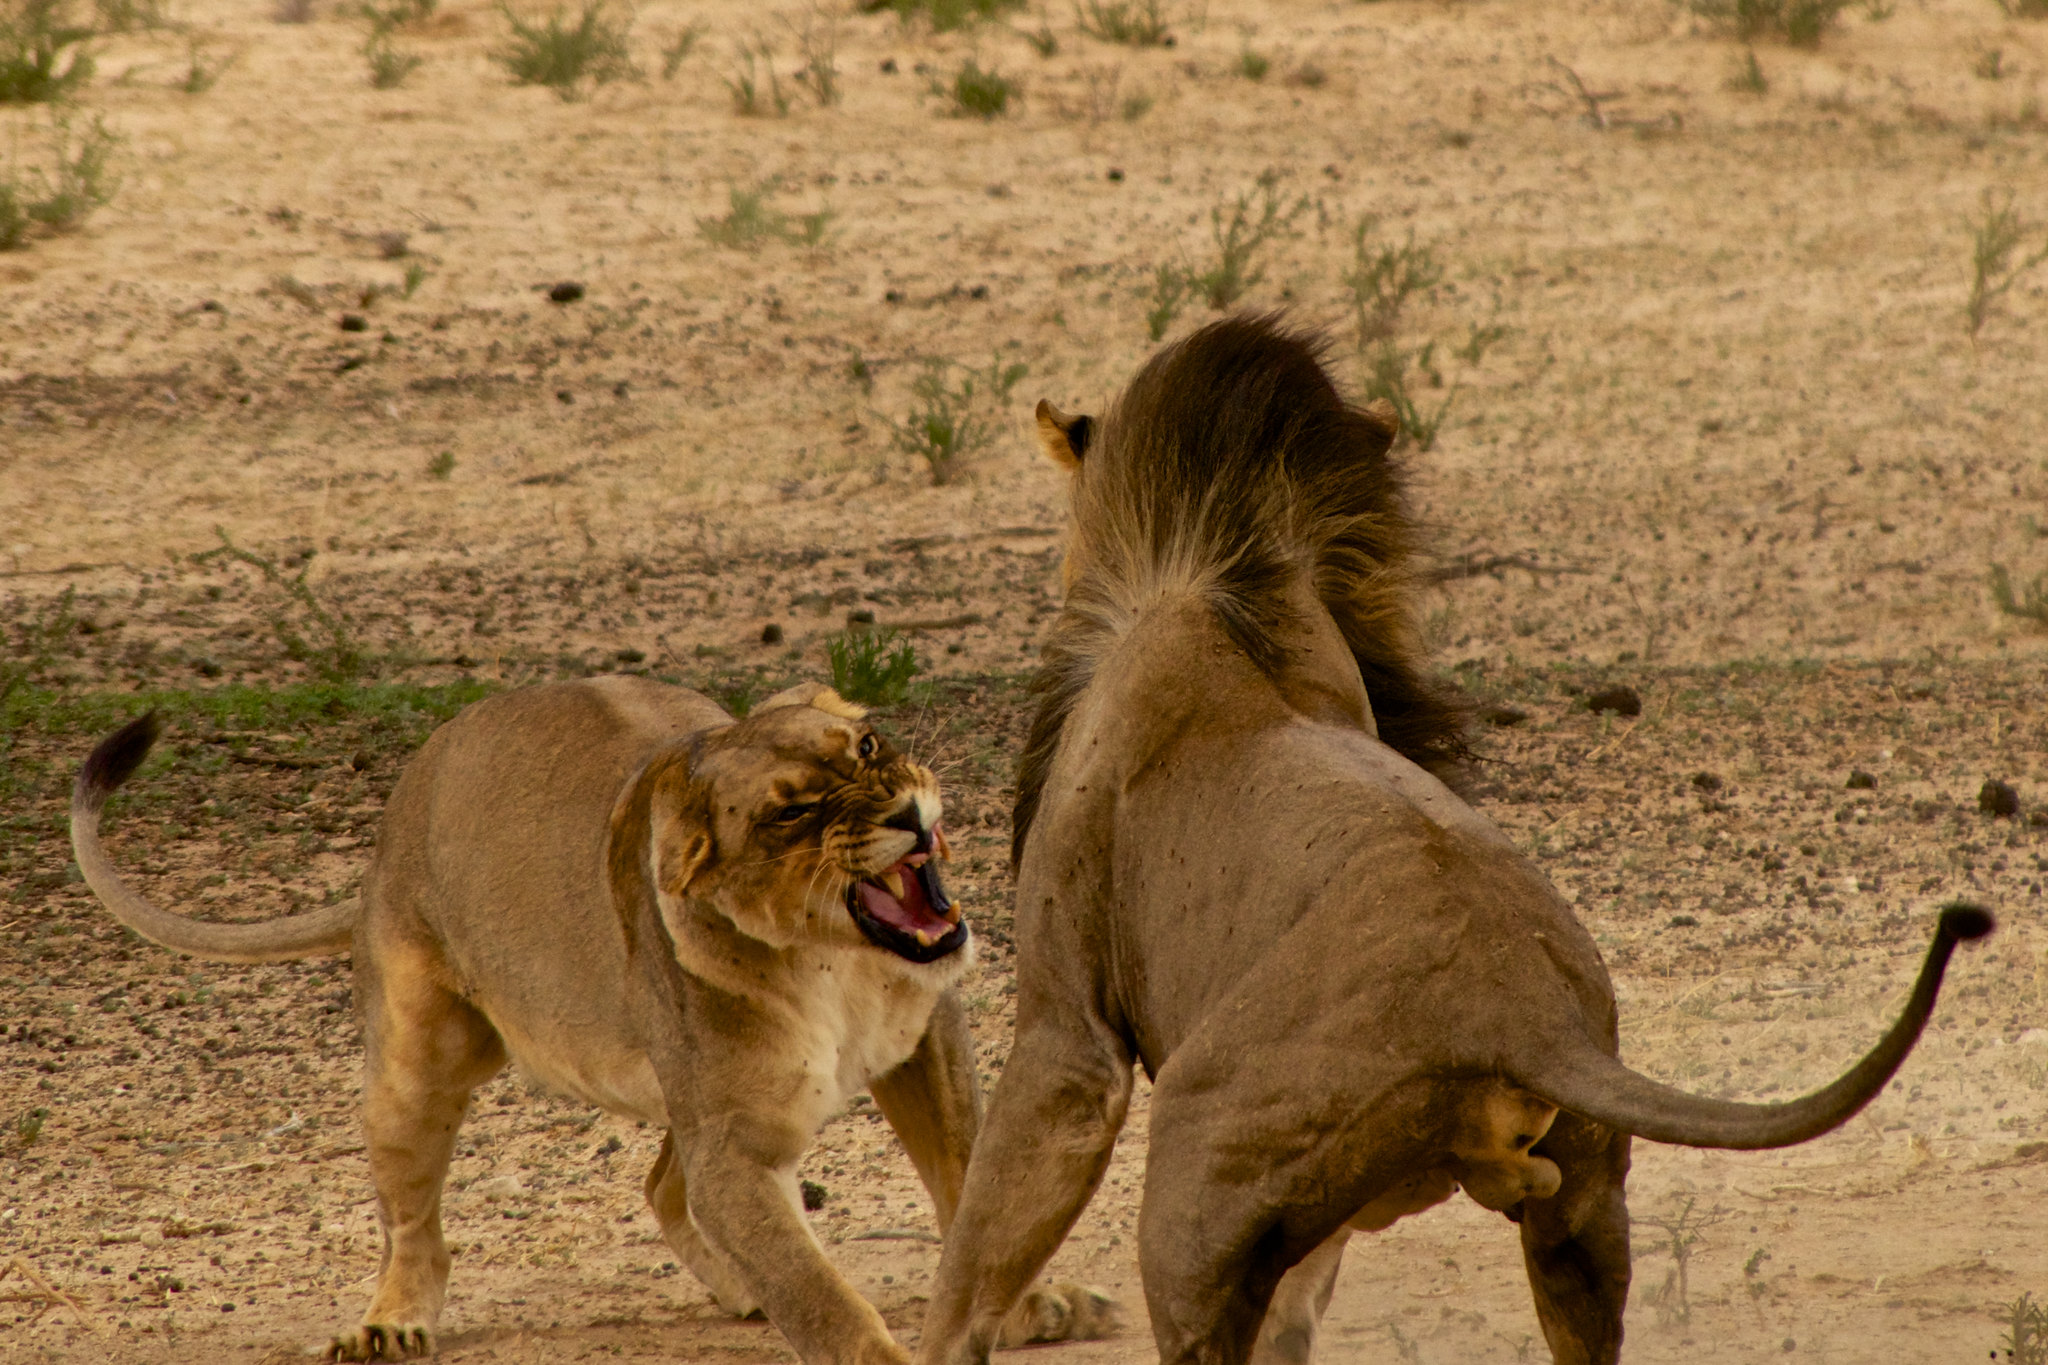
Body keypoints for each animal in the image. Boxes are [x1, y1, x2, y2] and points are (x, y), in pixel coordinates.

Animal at [69, 676, 1105, 1364]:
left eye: (868, 748)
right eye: (792, 816)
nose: (903, 813)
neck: (834, 963)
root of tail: (381, 845)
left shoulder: (926, 1043)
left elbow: (969, 1175)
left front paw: (1023, 1305)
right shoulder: (732, 1141)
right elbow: (818, 1291)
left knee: (660, 1186)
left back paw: (738, 1288)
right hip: (417, 1060)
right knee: (415, 1220)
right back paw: (393, 1319)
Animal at [912, 315, 1994, 1365]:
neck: (1223, 585)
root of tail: (1517, 1012)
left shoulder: (1070, 1032)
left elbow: (975, 1266)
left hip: (1194, 1186)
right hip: (1578, 1212)